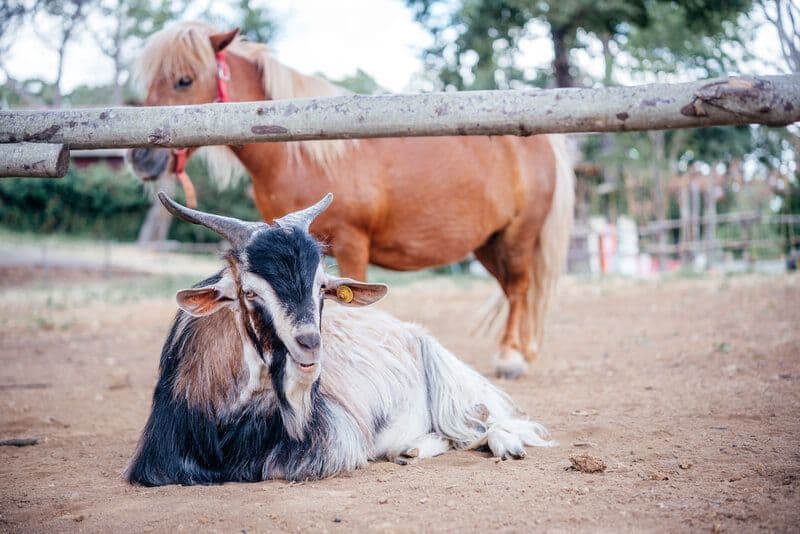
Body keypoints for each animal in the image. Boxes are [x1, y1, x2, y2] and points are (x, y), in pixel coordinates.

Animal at [126, 192, 553, 486]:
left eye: (322, 287)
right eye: (249, 293)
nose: (310, 344)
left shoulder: (334, 440)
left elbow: (277, 466)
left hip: (448, 379)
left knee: (479, 424)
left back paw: (503, 444)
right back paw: (410, 448)